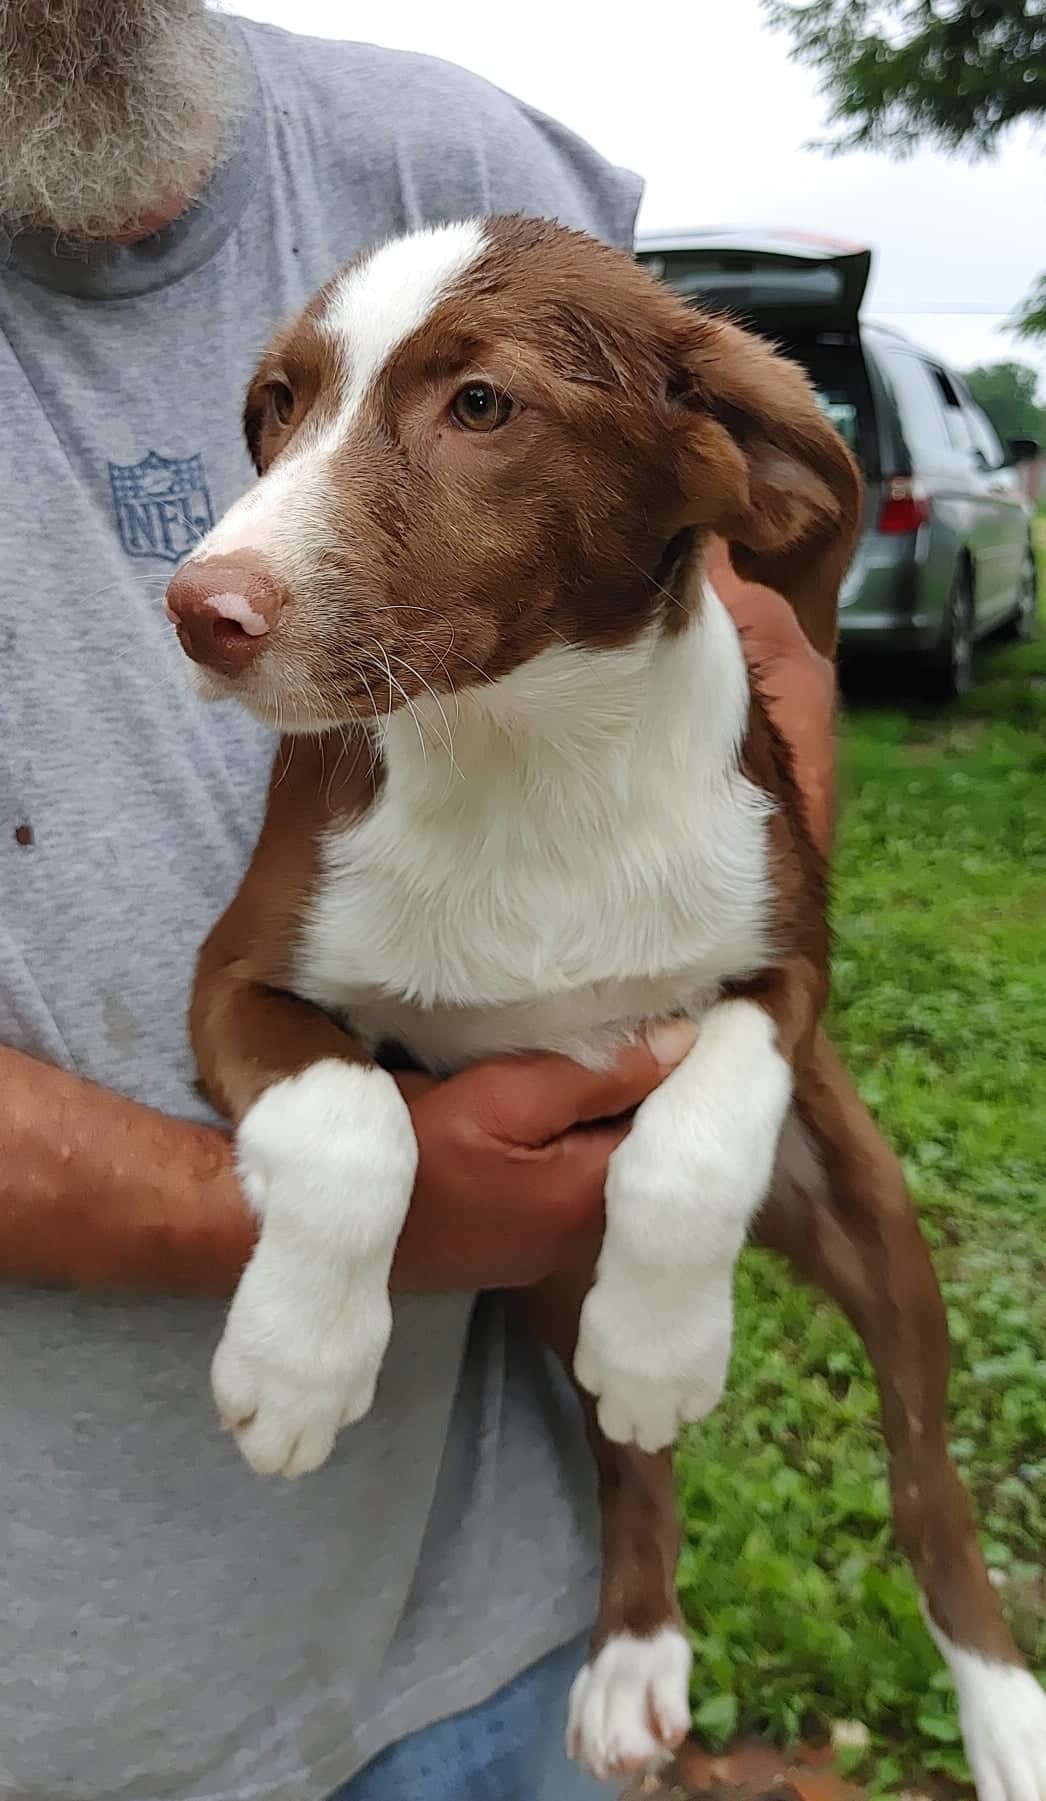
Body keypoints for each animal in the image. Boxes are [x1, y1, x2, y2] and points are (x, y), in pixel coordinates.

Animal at [162, 217, 1044, 1793]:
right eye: (276, 405)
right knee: (632, 1462)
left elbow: (691, 1130)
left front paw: (661, 1340)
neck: (527, 752)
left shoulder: (788, 964)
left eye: (482, 406)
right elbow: (351, 1123)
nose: (202, 612)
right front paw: (299, 1366)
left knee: (924, 1484)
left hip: (872, 1220)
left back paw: (1001, 1711)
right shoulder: (240, 977)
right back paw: (634, 1652)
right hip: (536, 1274)